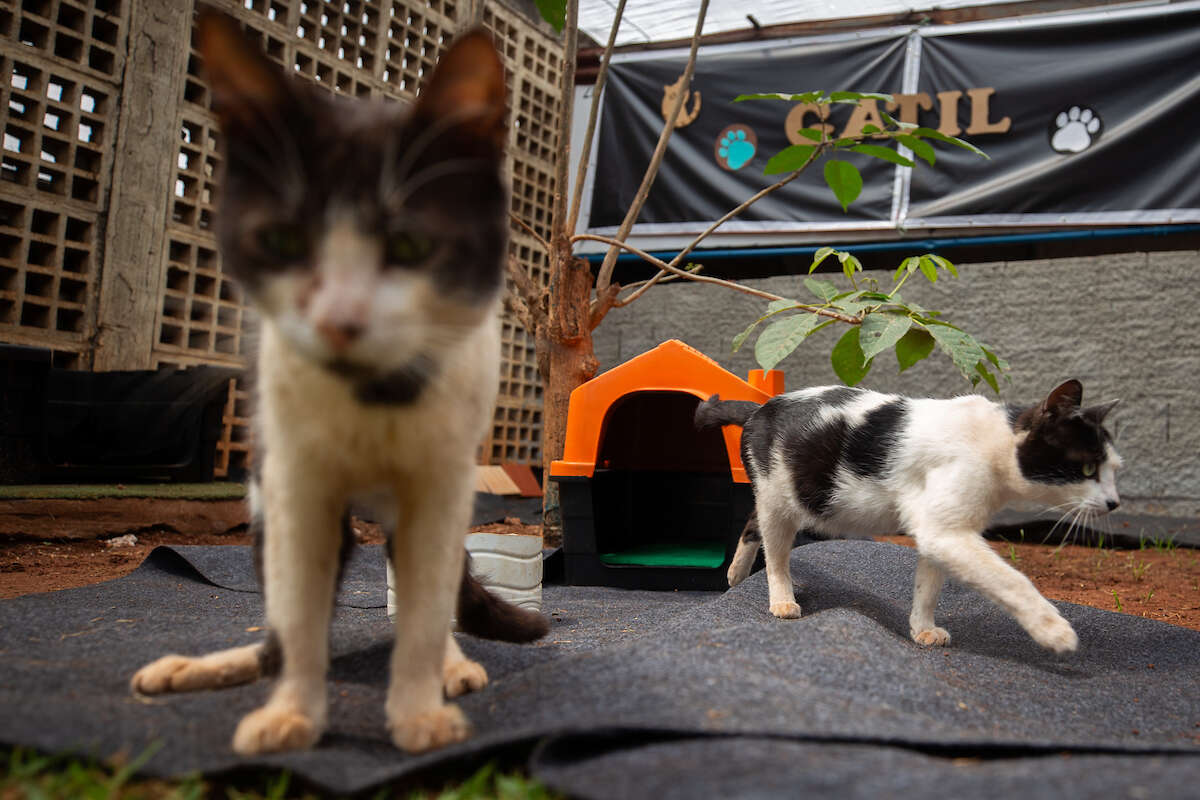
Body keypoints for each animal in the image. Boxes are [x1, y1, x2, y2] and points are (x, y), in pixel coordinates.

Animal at [130, 9, 544, 753]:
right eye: (282, 241)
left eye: (411, 245)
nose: (339, 321)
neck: (374, 399)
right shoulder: (295, 486)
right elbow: (298, 618)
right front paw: (291, 714)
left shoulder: (441, 486)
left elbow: (426, 607)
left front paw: (419, 712)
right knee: (279, 630)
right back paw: (210, 668)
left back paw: (451, 664)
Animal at [700, 379, 1118, 652]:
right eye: (1086, 469)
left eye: (1114, 469)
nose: (1114, 502)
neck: (993, 443)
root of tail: (760, 408)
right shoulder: (946, 532)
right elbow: (1012, 580)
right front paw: (1056, 632)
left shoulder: (942, 530)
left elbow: (927, 587)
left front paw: (922, 630)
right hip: (779, 499)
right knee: (776, 553)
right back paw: (782, 600)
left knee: (753, 524)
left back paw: (735, 576)